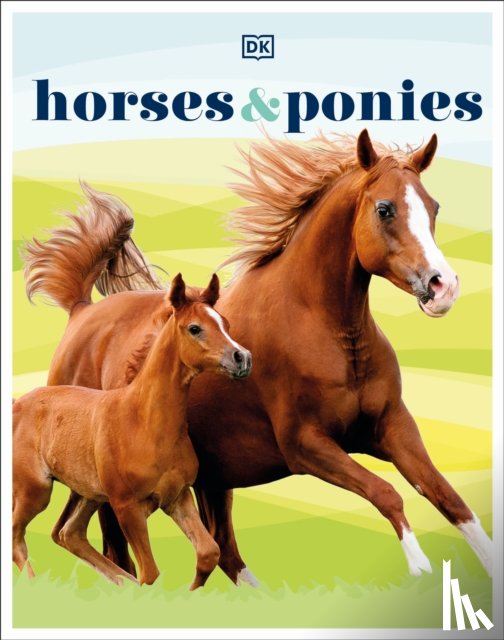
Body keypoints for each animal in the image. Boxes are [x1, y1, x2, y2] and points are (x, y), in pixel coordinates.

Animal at [13, 273, 252, 588]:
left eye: (225, 322)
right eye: (195, 328)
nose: (242, 358)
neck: (144, 422)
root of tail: (17, 404)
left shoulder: (177, 497)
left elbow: (207, 553)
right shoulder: (127, 507)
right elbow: (150, 573)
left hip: (89, 494)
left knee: (68, 533)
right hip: (35, 490)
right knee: (17, 537)